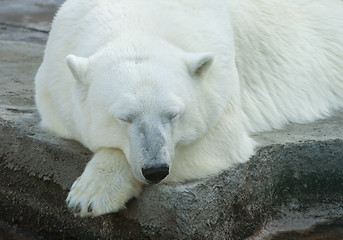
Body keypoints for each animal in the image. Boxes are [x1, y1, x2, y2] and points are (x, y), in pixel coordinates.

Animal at [35, 0, 343, 217]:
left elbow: (218, 140)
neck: (135, 18)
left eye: (173, 114)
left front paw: (89, 196)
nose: (156, 169)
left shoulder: (219, 77)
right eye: (125, 117)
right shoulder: (54, 82)